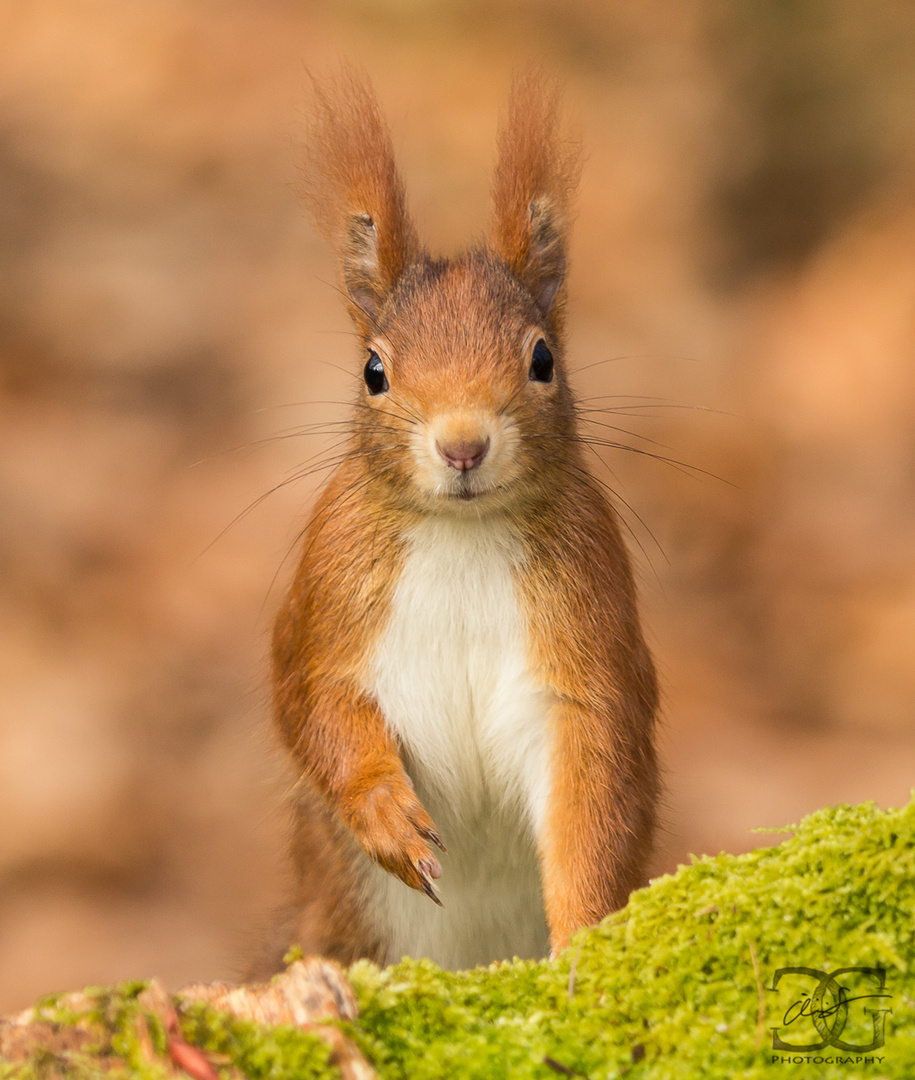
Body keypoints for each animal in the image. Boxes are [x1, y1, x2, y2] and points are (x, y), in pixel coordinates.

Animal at [253, 71, 661, 976]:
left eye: (543, 359)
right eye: (373, 371)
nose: (463, 445)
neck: (462, 536)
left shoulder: (585, 635)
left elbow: (590, 796)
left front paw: (582, 937)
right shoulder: (327, 597)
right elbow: (312, 705)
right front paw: (386, 817)